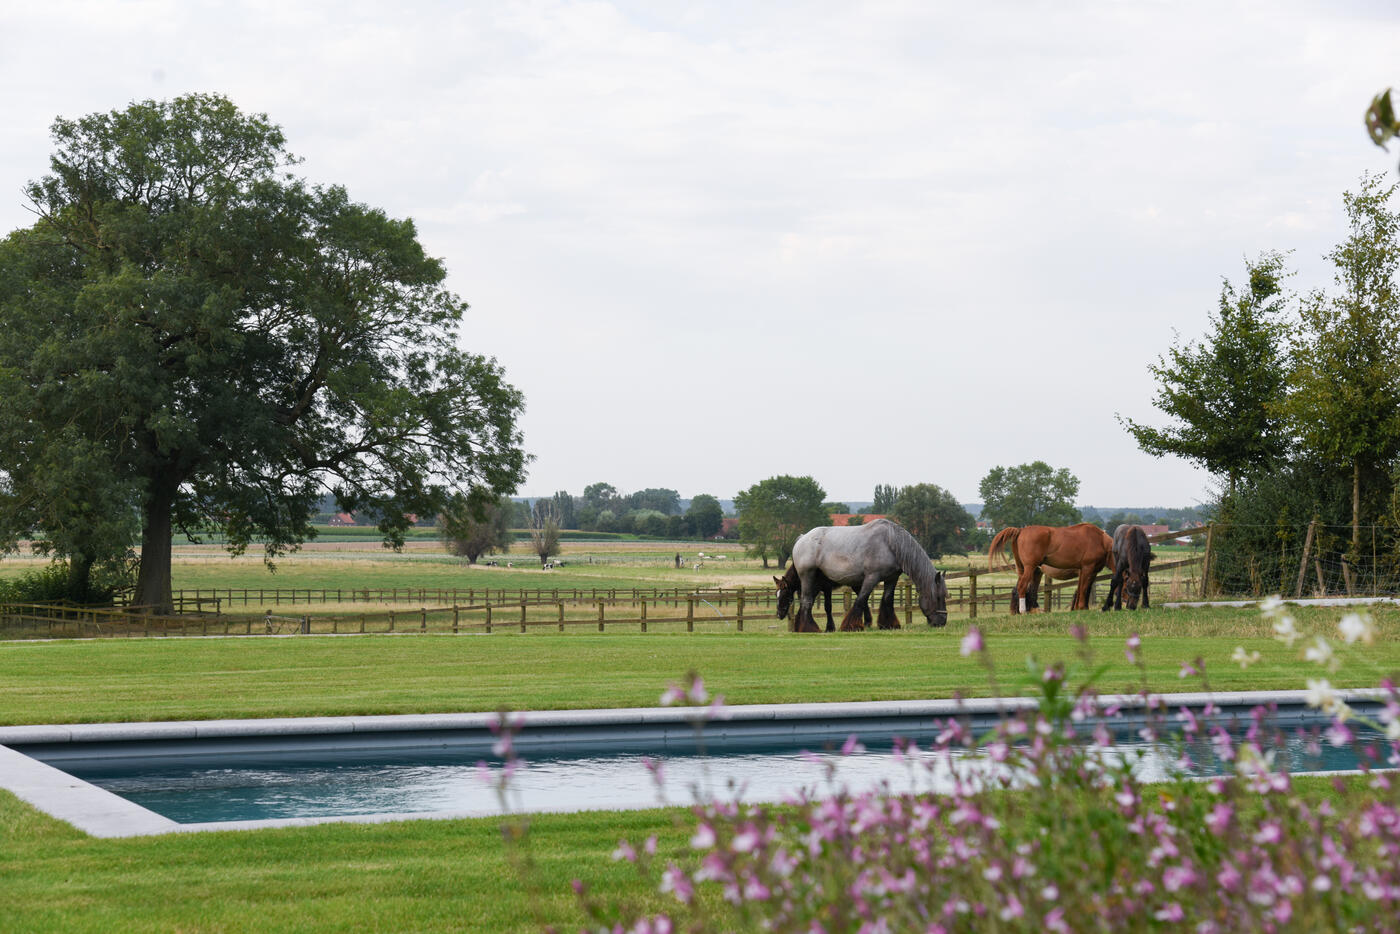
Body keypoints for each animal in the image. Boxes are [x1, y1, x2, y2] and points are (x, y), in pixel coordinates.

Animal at [789, 518, 952, 635]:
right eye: (938, 597)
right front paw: (851, 626)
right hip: (808, 576)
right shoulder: (872, 577)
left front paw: (889, 624)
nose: (942, 622)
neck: (890, 543)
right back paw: (808, 628)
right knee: (806, 601)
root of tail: (802, 538)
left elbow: (887, 600)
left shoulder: (892, 578)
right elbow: (861, 600)